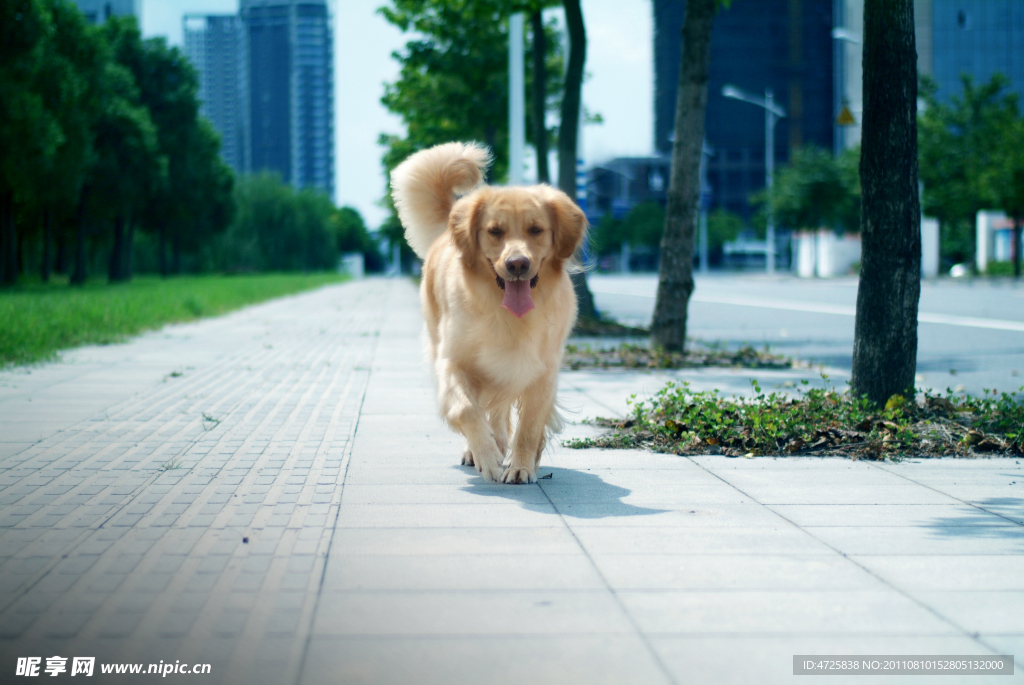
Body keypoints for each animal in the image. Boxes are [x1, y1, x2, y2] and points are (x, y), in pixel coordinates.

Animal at [389, 141, 589, 483]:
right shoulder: (454, 361)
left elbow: (530, 424)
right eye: (495, 231)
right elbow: (466, 409)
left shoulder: (542, 370)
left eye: (536, 229)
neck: (506, 313)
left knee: (499, 409)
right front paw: (488, 456)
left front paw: (521, 466)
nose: (517, 264)